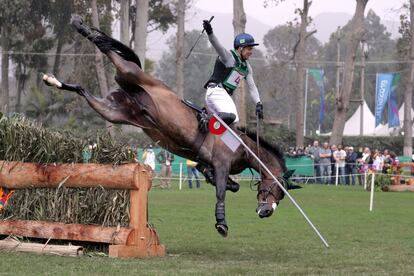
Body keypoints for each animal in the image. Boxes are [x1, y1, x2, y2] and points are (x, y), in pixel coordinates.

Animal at [43, 15, 286, 236]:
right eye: (277, 187)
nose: (266, 212)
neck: (245, 148)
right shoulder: (222, 164)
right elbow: (220, 193)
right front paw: (221, 223)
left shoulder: (206, 163)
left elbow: (226, 183)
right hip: (131, 73)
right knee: (107, 50)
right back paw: (78, 25)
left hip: (113, 112)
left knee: (83, 89)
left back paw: (54, 81)